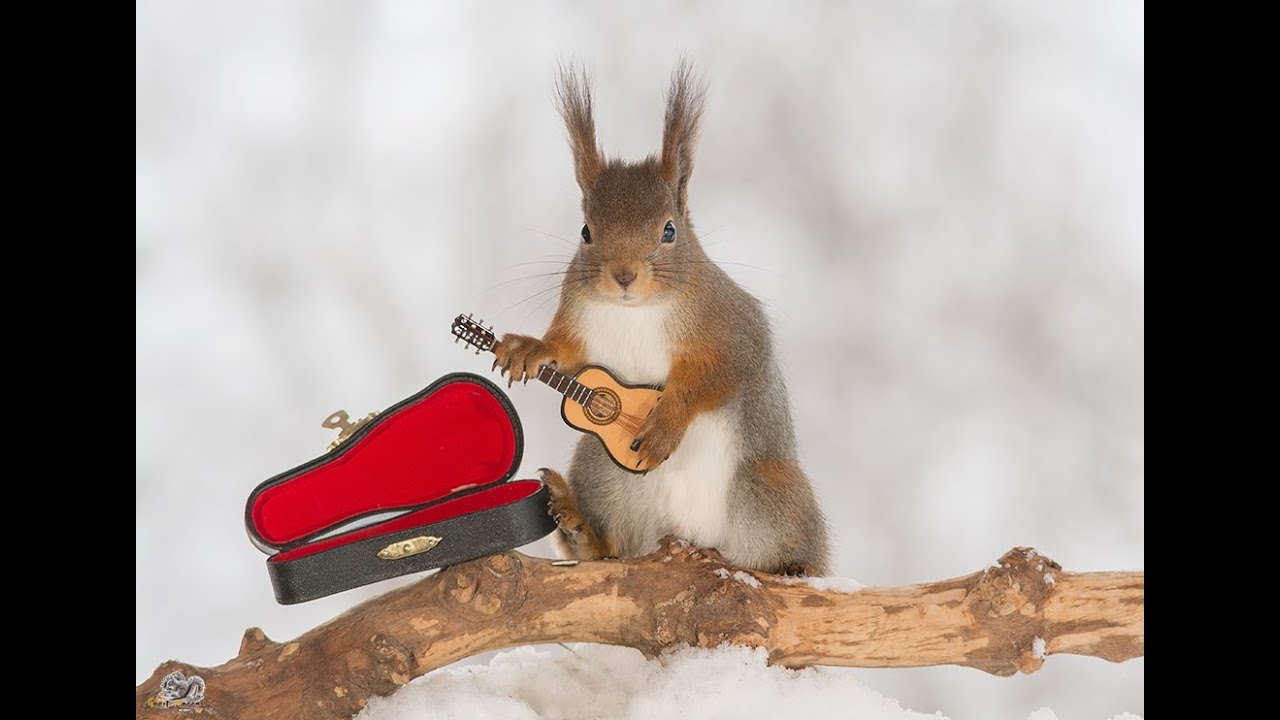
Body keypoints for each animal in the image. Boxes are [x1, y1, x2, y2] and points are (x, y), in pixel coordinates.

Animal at [494, 62, 831, 576]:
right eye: (586, 231)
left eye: (669, 230)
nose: (624, 275)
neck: (636, 311)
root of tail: (690, 534)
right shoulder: (579, 325)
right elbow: (565, 352)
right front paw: (528, 348)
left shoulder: (734, 328)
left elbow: (717, 374)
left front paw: (667, 420)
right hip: (601, 467)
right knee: (609, 547)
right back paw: (579, 527)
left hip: (769, 487)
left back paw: (791, 567)